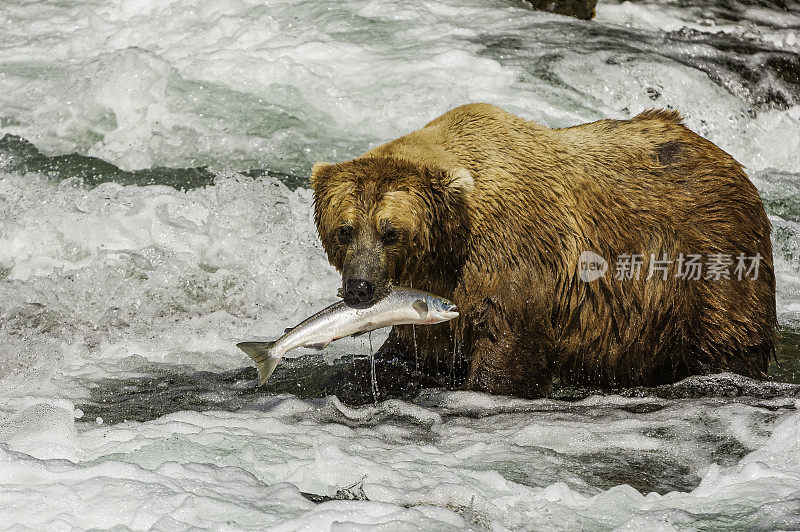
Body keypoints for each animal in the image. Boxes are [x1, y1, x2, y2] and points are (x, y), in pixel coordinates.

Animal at [308, 104, 776, 396]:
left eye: (390, 232)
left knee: (728, 342)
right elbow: (408, 353)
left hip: (709, 260)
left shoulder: (513, 260)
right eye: (345, 230)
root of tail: (725, 157)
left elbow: (510, 348)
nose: (360, 286)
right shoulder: (433, 297)